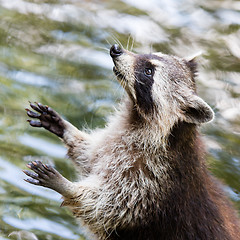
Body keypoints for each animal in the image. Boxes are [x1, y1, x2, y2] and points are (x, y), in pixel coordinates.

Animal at [23, 44, 239, 239]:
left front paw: (68, 187)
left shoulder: (153, 177)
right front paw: (67, 129)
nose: (116, 49)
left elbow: (108, 208)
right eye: (148, 54)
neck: (137, 117)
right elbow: (91, 157)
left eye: (149, 71)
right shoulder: (117, 143)